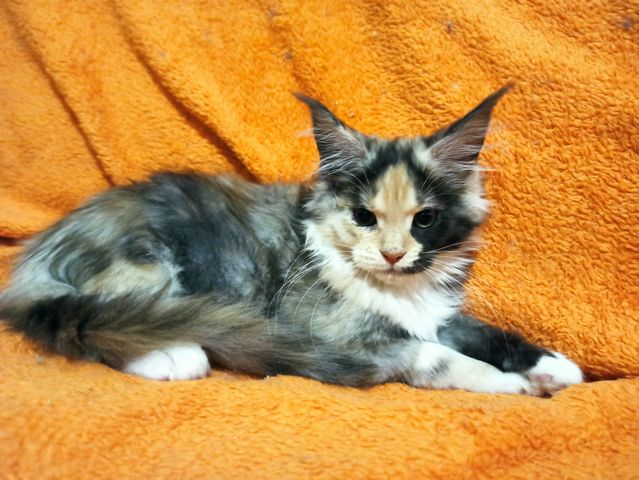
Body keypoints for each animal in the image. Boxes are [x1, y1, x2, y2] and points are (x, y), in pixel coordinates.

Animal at [0, 86, 583, 395]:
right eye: (364, 216)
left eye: (424, 220)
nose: (393, 254)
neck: (393, 291)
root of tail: (39, 252)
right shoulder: (338, 333)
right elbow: (436, 356)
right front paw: (508, 383)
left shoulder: (437, 313)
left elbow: (482, 332)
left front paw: (553, 366)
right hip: (146, 266)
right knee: (104, 321)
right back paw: (174, 355)